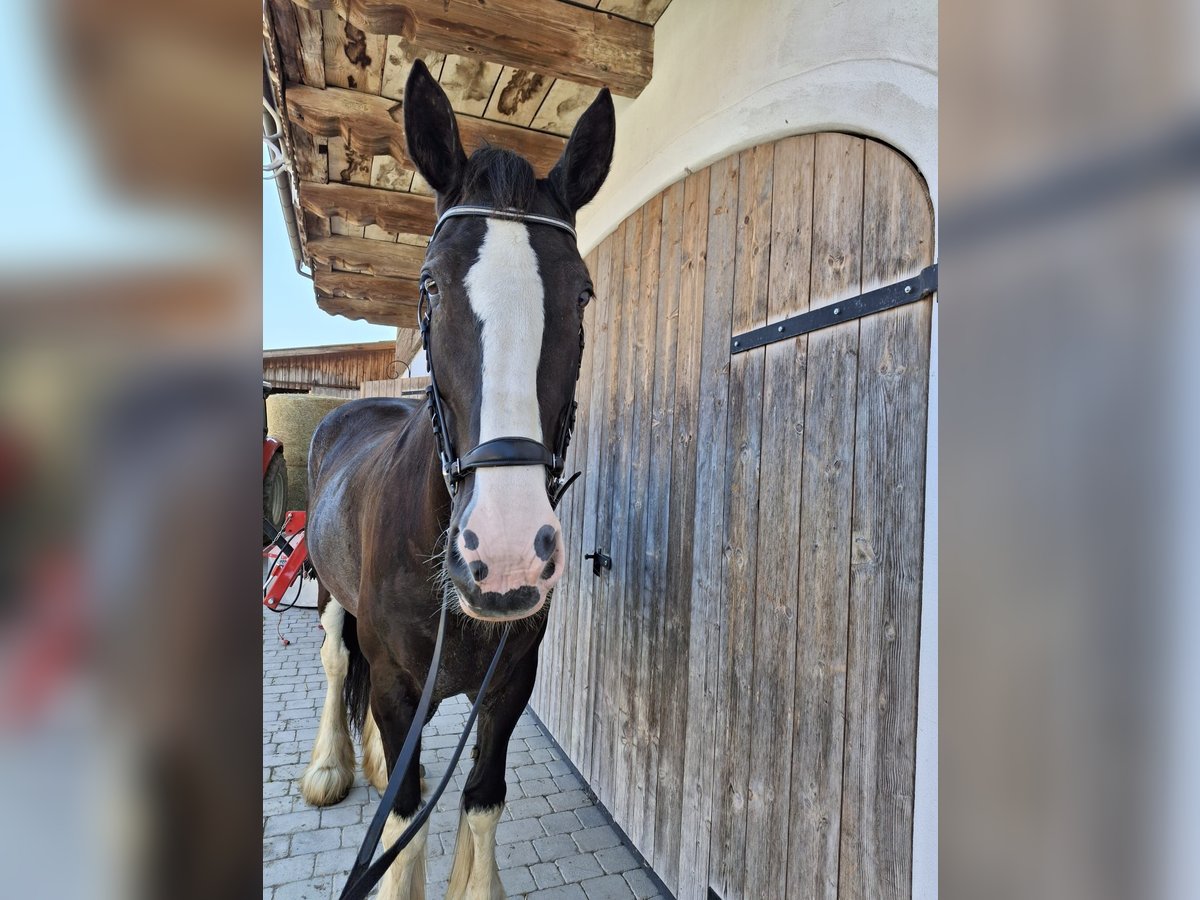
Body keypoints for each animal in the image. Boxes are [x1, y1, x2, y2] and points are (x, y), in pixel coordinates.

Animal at [297, 58, 615, 900]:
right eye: (430, 286)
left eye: (583, 294)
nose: (503, 556)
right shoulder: (399, 687)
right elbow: (407, 824)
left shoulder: (510, 684)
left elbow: (479, 798)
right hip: (327, 588)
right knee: (337, 659)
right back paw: (330, 767)